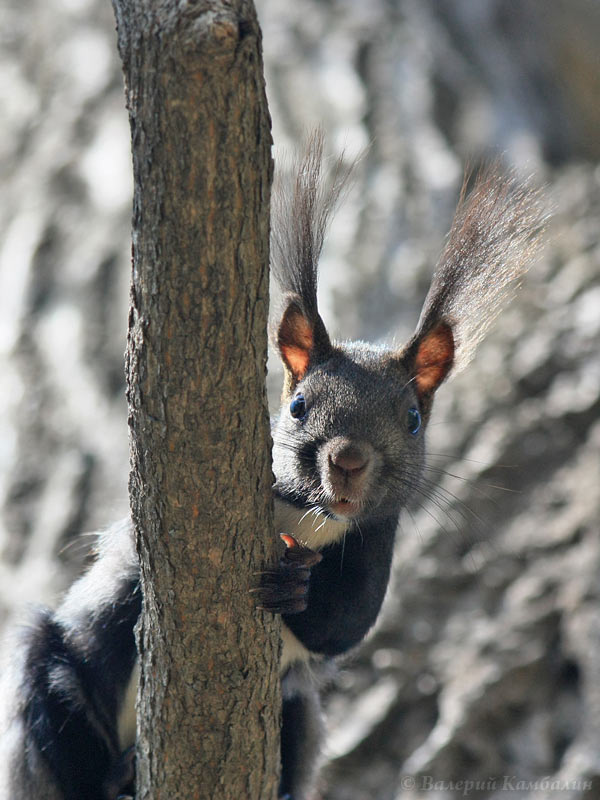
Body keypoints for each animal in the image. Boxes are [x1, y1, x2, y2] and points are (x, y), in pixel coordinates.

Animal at [0, 133, 544, 800]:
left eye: (414, 419)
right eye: (298, 404)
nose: (348, 460)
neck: (307, 520)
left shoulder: (374, 542)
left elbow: (347, 624)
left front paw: (296, 586)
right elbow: (133, 567)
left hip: (299, 715)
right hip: (48, 675)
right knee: (58, 710)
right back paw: (111, 777)